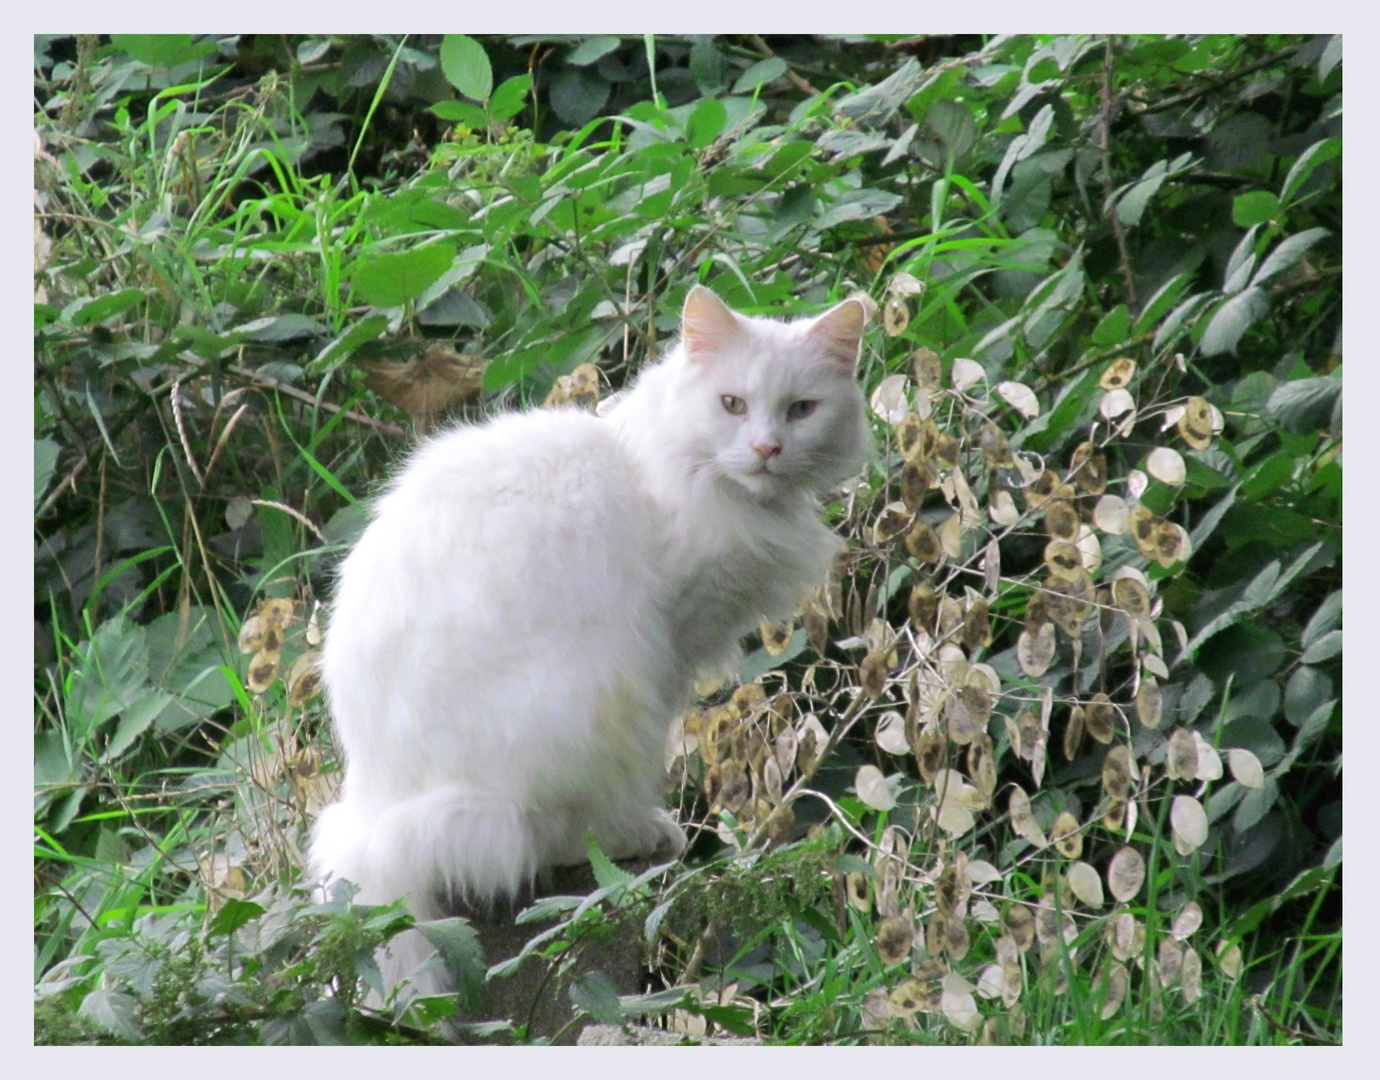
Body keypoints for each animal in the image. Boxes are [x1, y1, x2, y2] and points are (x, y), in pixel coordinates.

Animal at [314, 286, 872, 998]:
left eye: (802, 410)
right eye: (732, 405)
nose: (768, 448)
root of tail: (377, 806)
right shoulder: (671, 644)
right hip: (598, 699)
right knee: (553, 840)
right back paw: (641, 834)